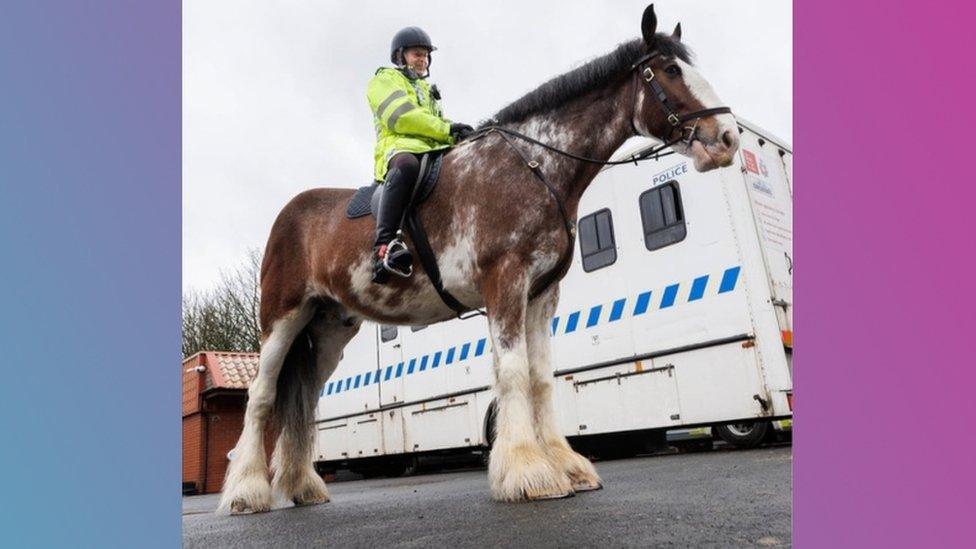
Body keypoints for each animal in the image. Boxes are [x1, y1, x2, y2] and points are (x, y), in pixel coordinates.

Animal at [219, 3, 740, 512]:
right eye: (671, 70)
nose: (728, 137)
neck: (531, 166)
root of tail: (289, 217)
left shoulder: (541, 295)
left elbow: (539, 377)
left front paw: (566, 466)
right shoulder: (504, 282)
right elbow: (512, 371)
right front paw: (529, 472)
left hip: (329, 329)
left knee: (304, 400)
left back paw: (302, 486)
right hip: (283, 319)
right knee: (262, 396)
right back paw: (247, 491)